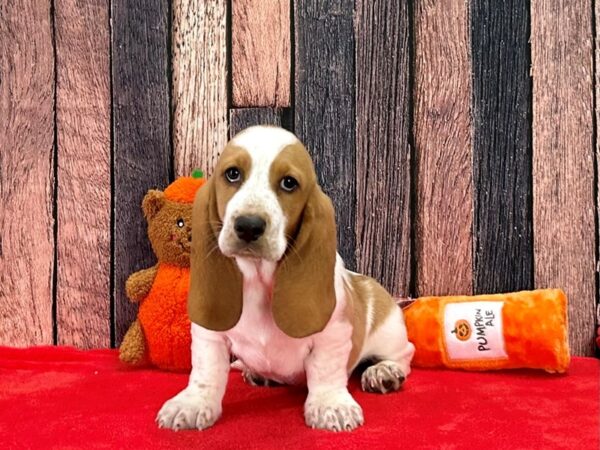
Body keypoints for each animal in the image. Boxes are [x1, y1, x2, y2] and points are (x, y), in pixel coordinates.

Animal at [157, 125, 414, 430]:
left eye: (289, 183)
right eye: (232, 174)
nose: (248, 226)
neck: (258, 277)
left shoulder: (333, 335)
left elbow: (325, 371)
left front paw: (331, 405)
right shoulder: (209, 336)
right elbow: (205, 372)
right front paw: (192, 404)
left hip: (390, 332)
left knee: (404, 354)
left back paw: (383, 372)